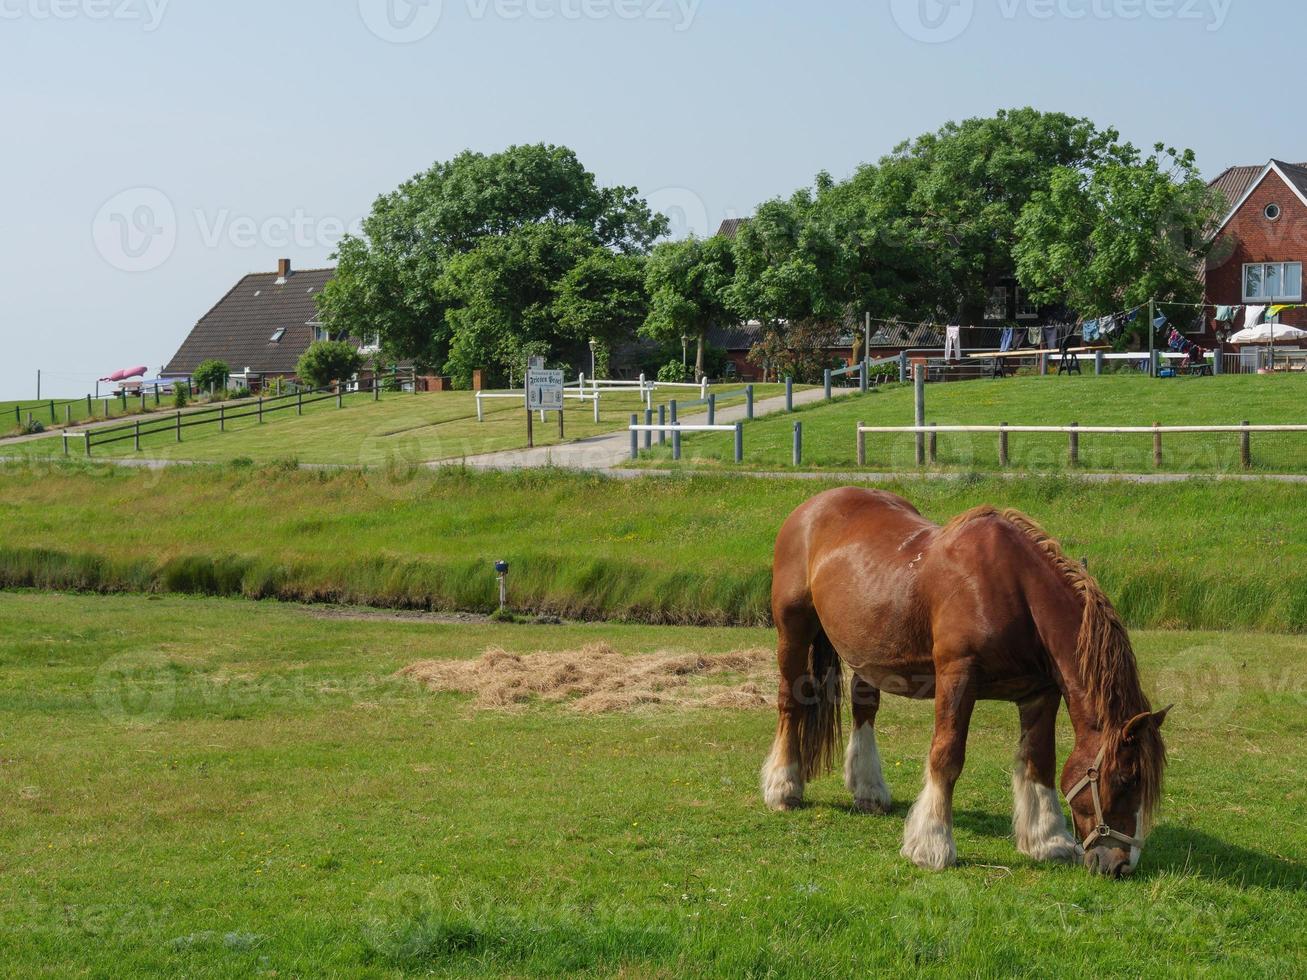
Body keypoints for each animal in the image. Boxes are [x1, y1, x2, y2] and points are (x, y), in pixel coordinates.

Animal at [763, 491, 1171, 883]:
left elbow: (1040, 761)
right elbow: (946, 757)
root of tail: (811, 508)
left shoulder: (1039, 693)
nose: (1121, 865)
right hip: (793, 633)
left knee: (864, 708)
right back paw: (783, 788)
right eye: (1126, 779)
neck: (1015, 592)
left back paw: (869, 791)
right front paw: (932, 845)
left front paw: (1048, 840)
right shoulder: (957, 676)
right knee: (790, 705)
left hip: (868, 650)